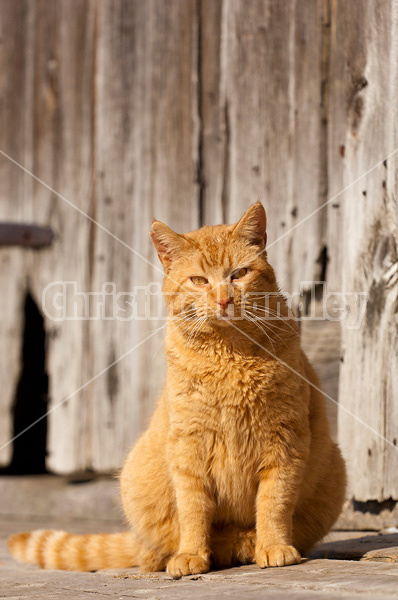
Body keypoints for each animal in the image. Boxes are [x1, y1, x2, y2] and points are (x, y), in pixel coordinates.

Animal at [8, 204, 346, 580]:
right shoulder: (188, 448)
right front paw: (191, 554)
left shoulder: (285, 442)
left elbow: (274, 503)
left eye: (239, 274)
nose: (224, 299)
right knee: (151, 549)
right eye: (199, 281)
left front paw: (273, 546)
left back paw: (246, 545)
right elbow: (193, 510)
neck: (230, 355)